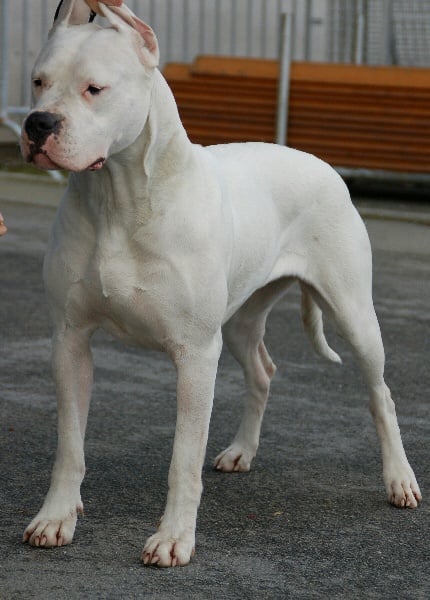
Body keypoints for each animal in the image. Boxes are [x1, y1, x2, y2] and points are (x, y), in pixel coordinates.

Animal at [20, 0, 421, 567]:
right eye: (38, 82)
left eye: (94, 88)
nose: (37, 123)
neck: (119, 198)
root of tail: (321, 163)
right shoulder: (70, 341)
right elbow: (69, 446)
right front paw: (56, 517)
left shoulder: (194, 354)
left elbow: (182, 459)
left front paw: (173, 538)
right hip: (240, 320)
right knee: (263, 372)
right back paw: (241, 451)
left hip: (354, 316)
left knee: (380, 395)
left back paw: (399, 481)